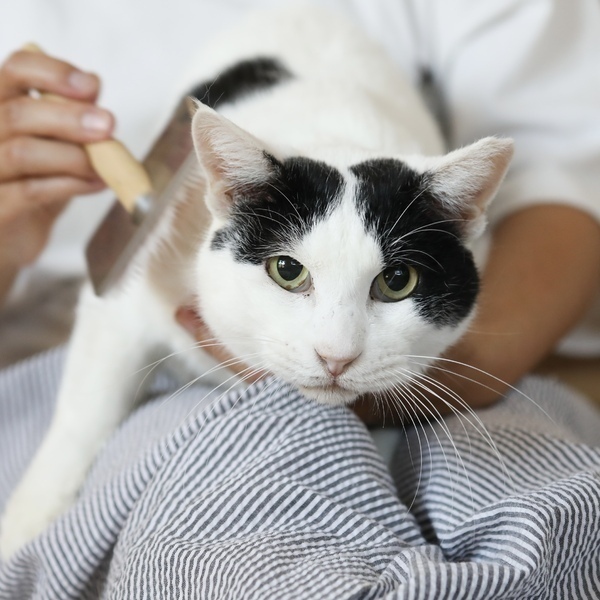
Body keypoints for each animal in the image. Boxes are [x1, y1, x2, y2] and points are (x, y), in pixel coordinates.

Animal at [0, 4, 512, 559]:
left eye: (397, 280)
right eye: (287, 271)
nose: (336, 357)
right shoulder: (130, 277)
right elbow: (84, 409)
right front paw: (23, 526)